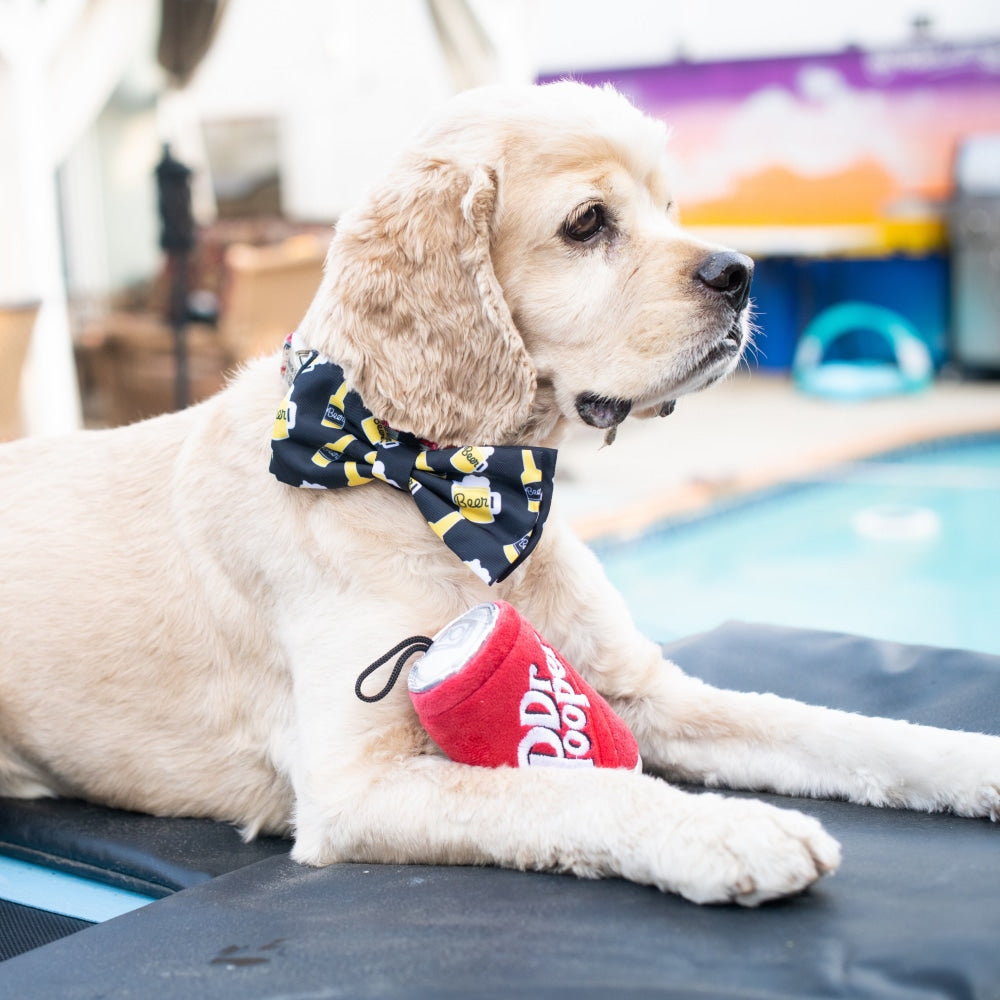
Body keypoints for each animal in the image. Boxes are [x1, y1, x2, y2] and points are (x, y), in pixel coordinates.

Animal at [1, 84, 1000, 908]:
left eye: (668, 206)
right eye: (589, 222)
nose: (742, 273)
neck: (449, 489)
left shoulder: (645, 693)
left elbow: (841, 729)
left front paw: (974, 760)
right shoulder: (356, 787)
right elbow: (575, 787)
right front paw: (728, 831)